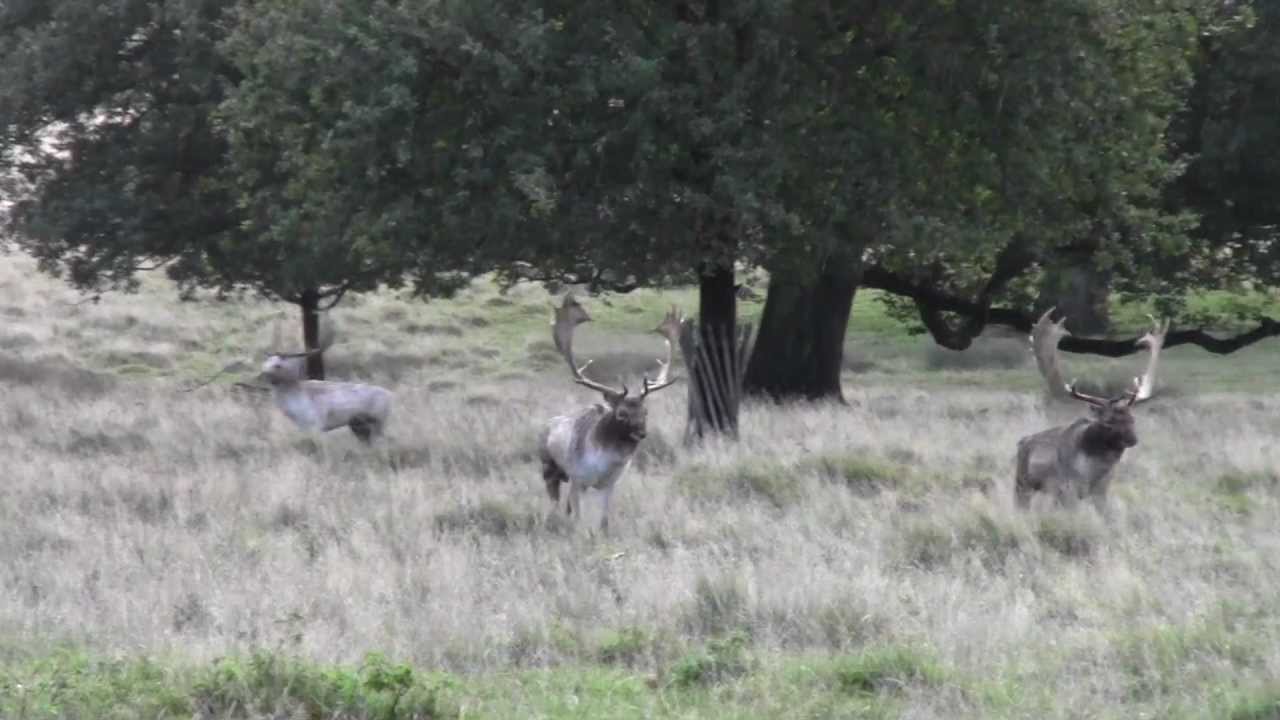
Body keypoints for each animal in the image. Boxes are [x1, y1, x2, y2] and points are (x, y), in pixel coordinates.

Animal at [538, 296, 680, 534]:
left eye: (646, 411)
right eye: (621, 413)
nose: (641, 433)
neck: (604, 463)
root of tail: (547, 424)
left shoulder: (610, 484)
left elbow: (604, 520)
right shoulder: (578, 479)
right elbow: (579, 518)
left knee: (564, 506)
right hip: (548, 469)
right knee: (555, 504)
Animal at [1014, 310, 1169, 511]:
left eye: (1132, 419)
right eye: (1108, 422)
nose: (1132, 439)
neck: (1093, 472)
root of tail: (1021, 442)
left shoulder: (1102, 490)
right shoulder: (1068, 488)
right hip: (1022, 484)